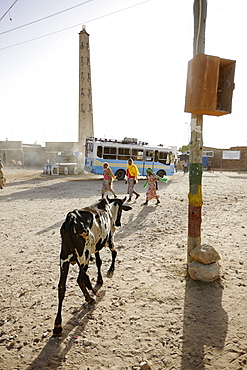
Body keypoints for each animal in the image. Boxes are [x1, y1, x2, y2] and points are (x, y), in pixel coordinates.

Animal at [53, 197, 132, 336]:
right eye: (121, 210)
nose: (118, 224)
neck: (108, 210)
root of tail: (71, 218)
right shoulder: (109, 240)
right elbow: (114, 253)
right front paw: (110, 270)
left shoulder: (96, 247)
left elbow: (99, 262)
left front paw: (100, 279)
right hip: (84, 257)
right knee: (80, 279)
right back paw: (90, 298)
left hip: (64, 259)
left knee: (62, 287)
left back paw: (58, 325)